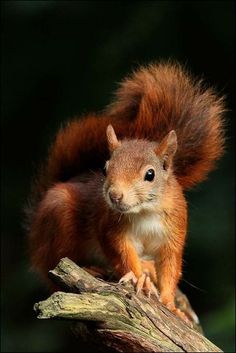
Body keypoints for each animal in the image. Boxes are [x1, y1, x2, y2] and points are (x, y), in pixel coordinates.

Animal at [25, 61, 225, 322]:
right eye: (105, 168)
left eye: (150, 174)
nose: (115, 196)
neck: (144, 212)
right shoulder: (110, 229)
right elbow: (122, 255)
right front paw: (139, 279)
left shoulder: (174, 232)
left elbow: (170, 268)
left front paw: (170, 304)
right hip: (58, 218)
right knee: (52, 269)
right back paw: (90, 268)